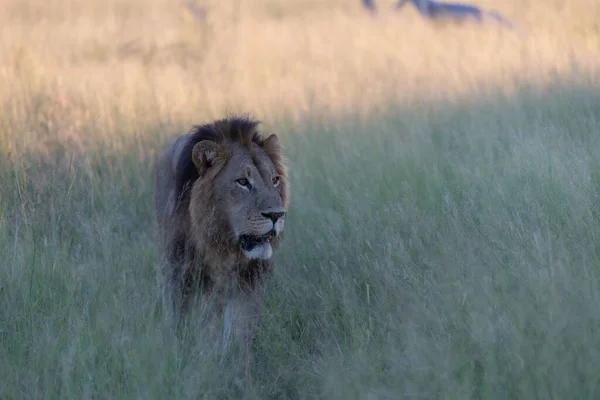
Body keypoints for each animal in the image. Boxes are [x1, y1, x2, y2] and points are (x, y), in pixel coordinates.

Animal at [154, 115, 288, 366]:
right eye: (243, 182)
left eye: (274, 180)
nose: (277, 215)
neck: (224, 248)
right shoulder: (187, 277)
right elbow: (198, 328)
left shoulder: (250, 281)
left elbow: (242, 333)